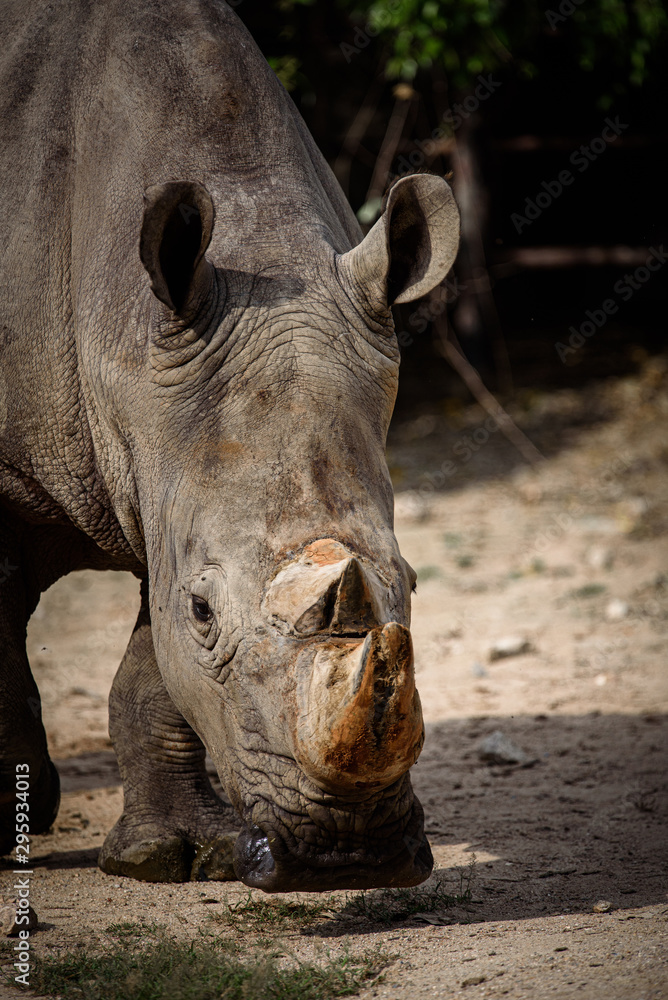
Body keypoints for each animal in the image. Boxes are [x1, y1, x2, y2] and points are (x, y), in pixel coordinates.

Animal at [0, 0, 459, 891]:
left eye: (415, 581)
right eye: (206, 611)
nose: (344, 855)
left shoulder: (166, 469)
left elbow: (155, 667)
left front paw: (172, 857)